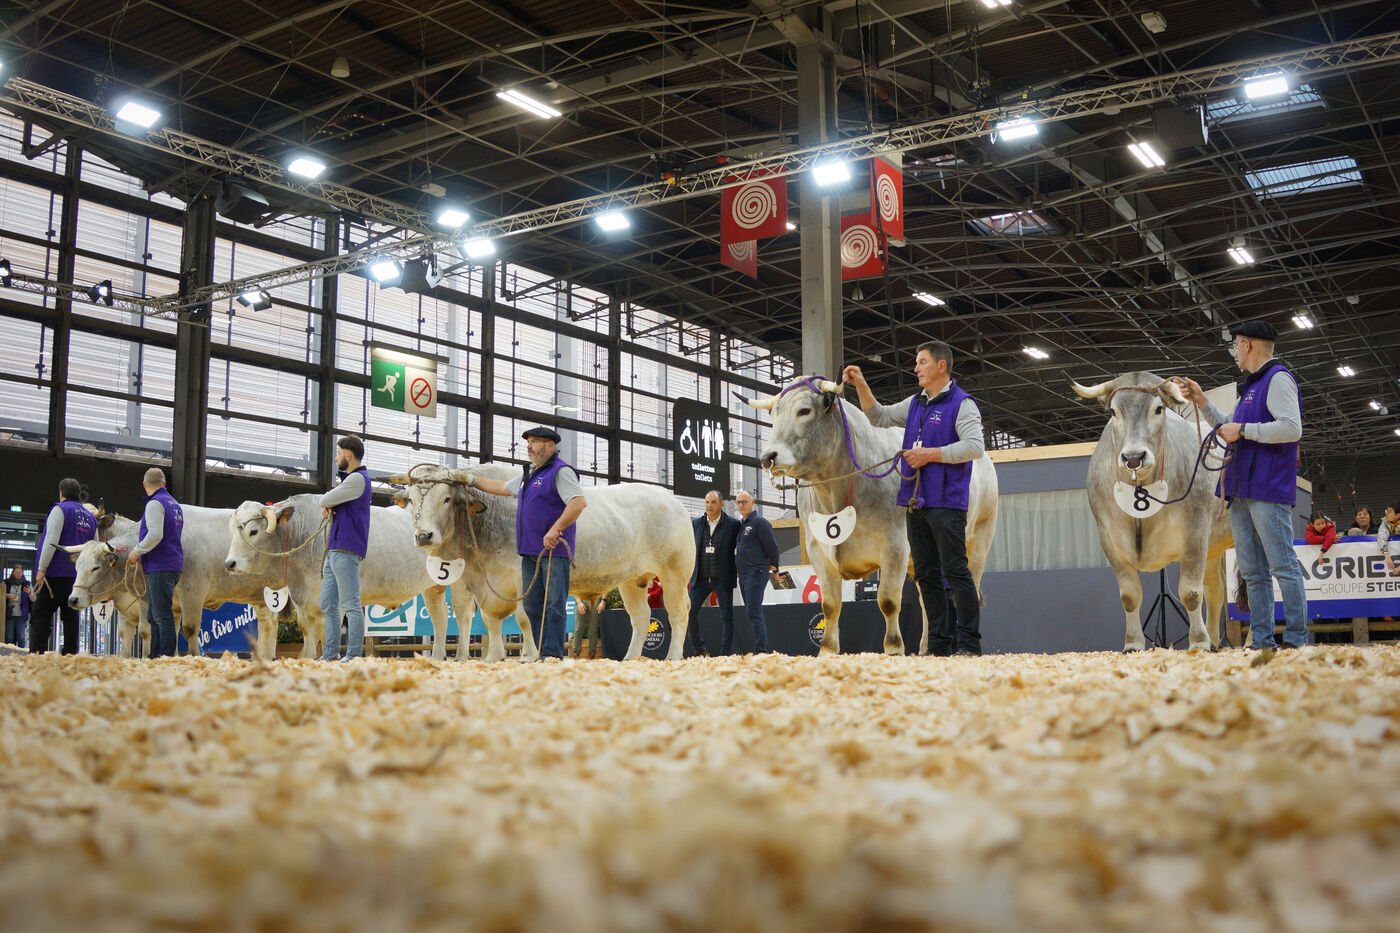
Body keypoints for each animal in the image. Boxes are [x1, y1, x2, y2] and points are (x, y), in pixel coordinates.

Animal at [66, 507, 296, 659]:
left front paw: (193, 656)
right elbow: (155, 629)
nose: (73, 599)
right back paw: (264, 657)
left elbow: (189, 628)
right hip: (261, 595)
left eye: (95, 567)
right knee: (268, 623)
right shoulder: (158, 601)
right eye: (77, 567)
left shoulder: (191, 592)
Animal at [223, 495, 473, 661]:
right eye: (233, 532)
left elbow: (327, 630)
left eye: (253, 531)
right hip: (434, 585)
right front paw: (308, 660)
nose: (229, 563)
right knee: (440, 616)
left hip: (460, 580)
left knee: (462, 614)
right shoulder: (302, 602)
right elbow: (308, 633)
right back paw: (437, 657)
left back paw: (461, 656)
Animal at [385, 463, 696, 661]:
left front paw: (530, 655)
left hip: (674, 574)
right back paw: (631, 658)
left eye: (447, 498)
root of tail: (671, 500)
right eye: (412, 501)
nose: (423, 535)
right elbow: (489, 620)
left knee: (678, 613)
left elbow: (525, 617)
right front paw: (493, 656)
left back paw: (674, 655)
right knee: (641, 617)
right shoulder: (483, 584)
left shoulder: (523, 576)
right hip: (632, 580)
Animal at [1070, 371, 1233, 651]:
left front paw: (1198, 641)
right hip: (1213, 547)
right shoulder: (1108, 537)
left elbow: (1191, 592)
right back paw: (1214, 640)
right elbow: (1129, 595)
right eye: (1113, 412)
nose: (1133, 457)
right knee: (1216, 590)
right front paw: (1133, 643)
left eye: (1158, 409)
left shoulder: (1195, 531)